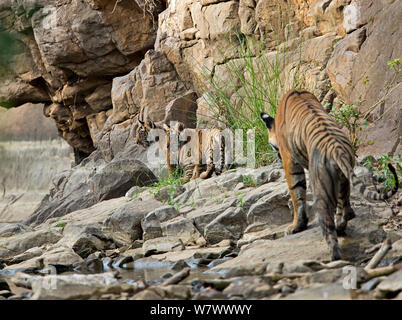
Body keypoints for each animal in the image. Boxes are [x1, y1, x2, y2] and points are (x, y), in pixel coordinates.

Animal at [260, 89, 398, 262]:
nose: (276, 157)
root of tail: (337, 149)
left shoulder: (289, 161)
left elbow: (296, 195)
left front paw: (296, 226)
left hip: (321, 188)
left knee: (328, 224)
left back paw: (333, 256)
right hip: (342, 179)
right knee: (344, 208)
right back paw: (341, 227)